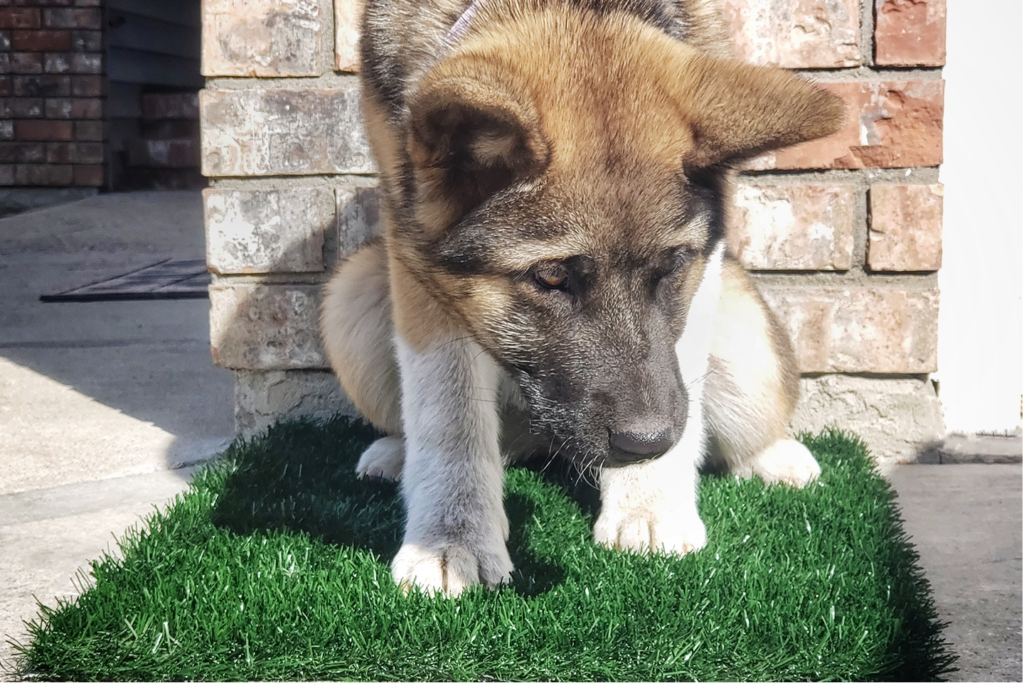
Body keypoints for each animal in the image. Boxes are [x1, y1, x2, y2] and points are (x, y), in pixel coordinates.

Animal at [321, 0, 847, 593]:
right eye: (550, 277)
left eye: (672, 266)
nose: (648, 445)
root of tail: (539, 441)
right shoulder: (416, 252)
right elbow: (446, 410)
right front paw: (450, 540)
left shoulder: (704, 269)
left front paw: (649, 507)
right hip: (354, 289)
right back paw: (397, 451)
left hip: (747, 338)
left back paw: (776, 456)